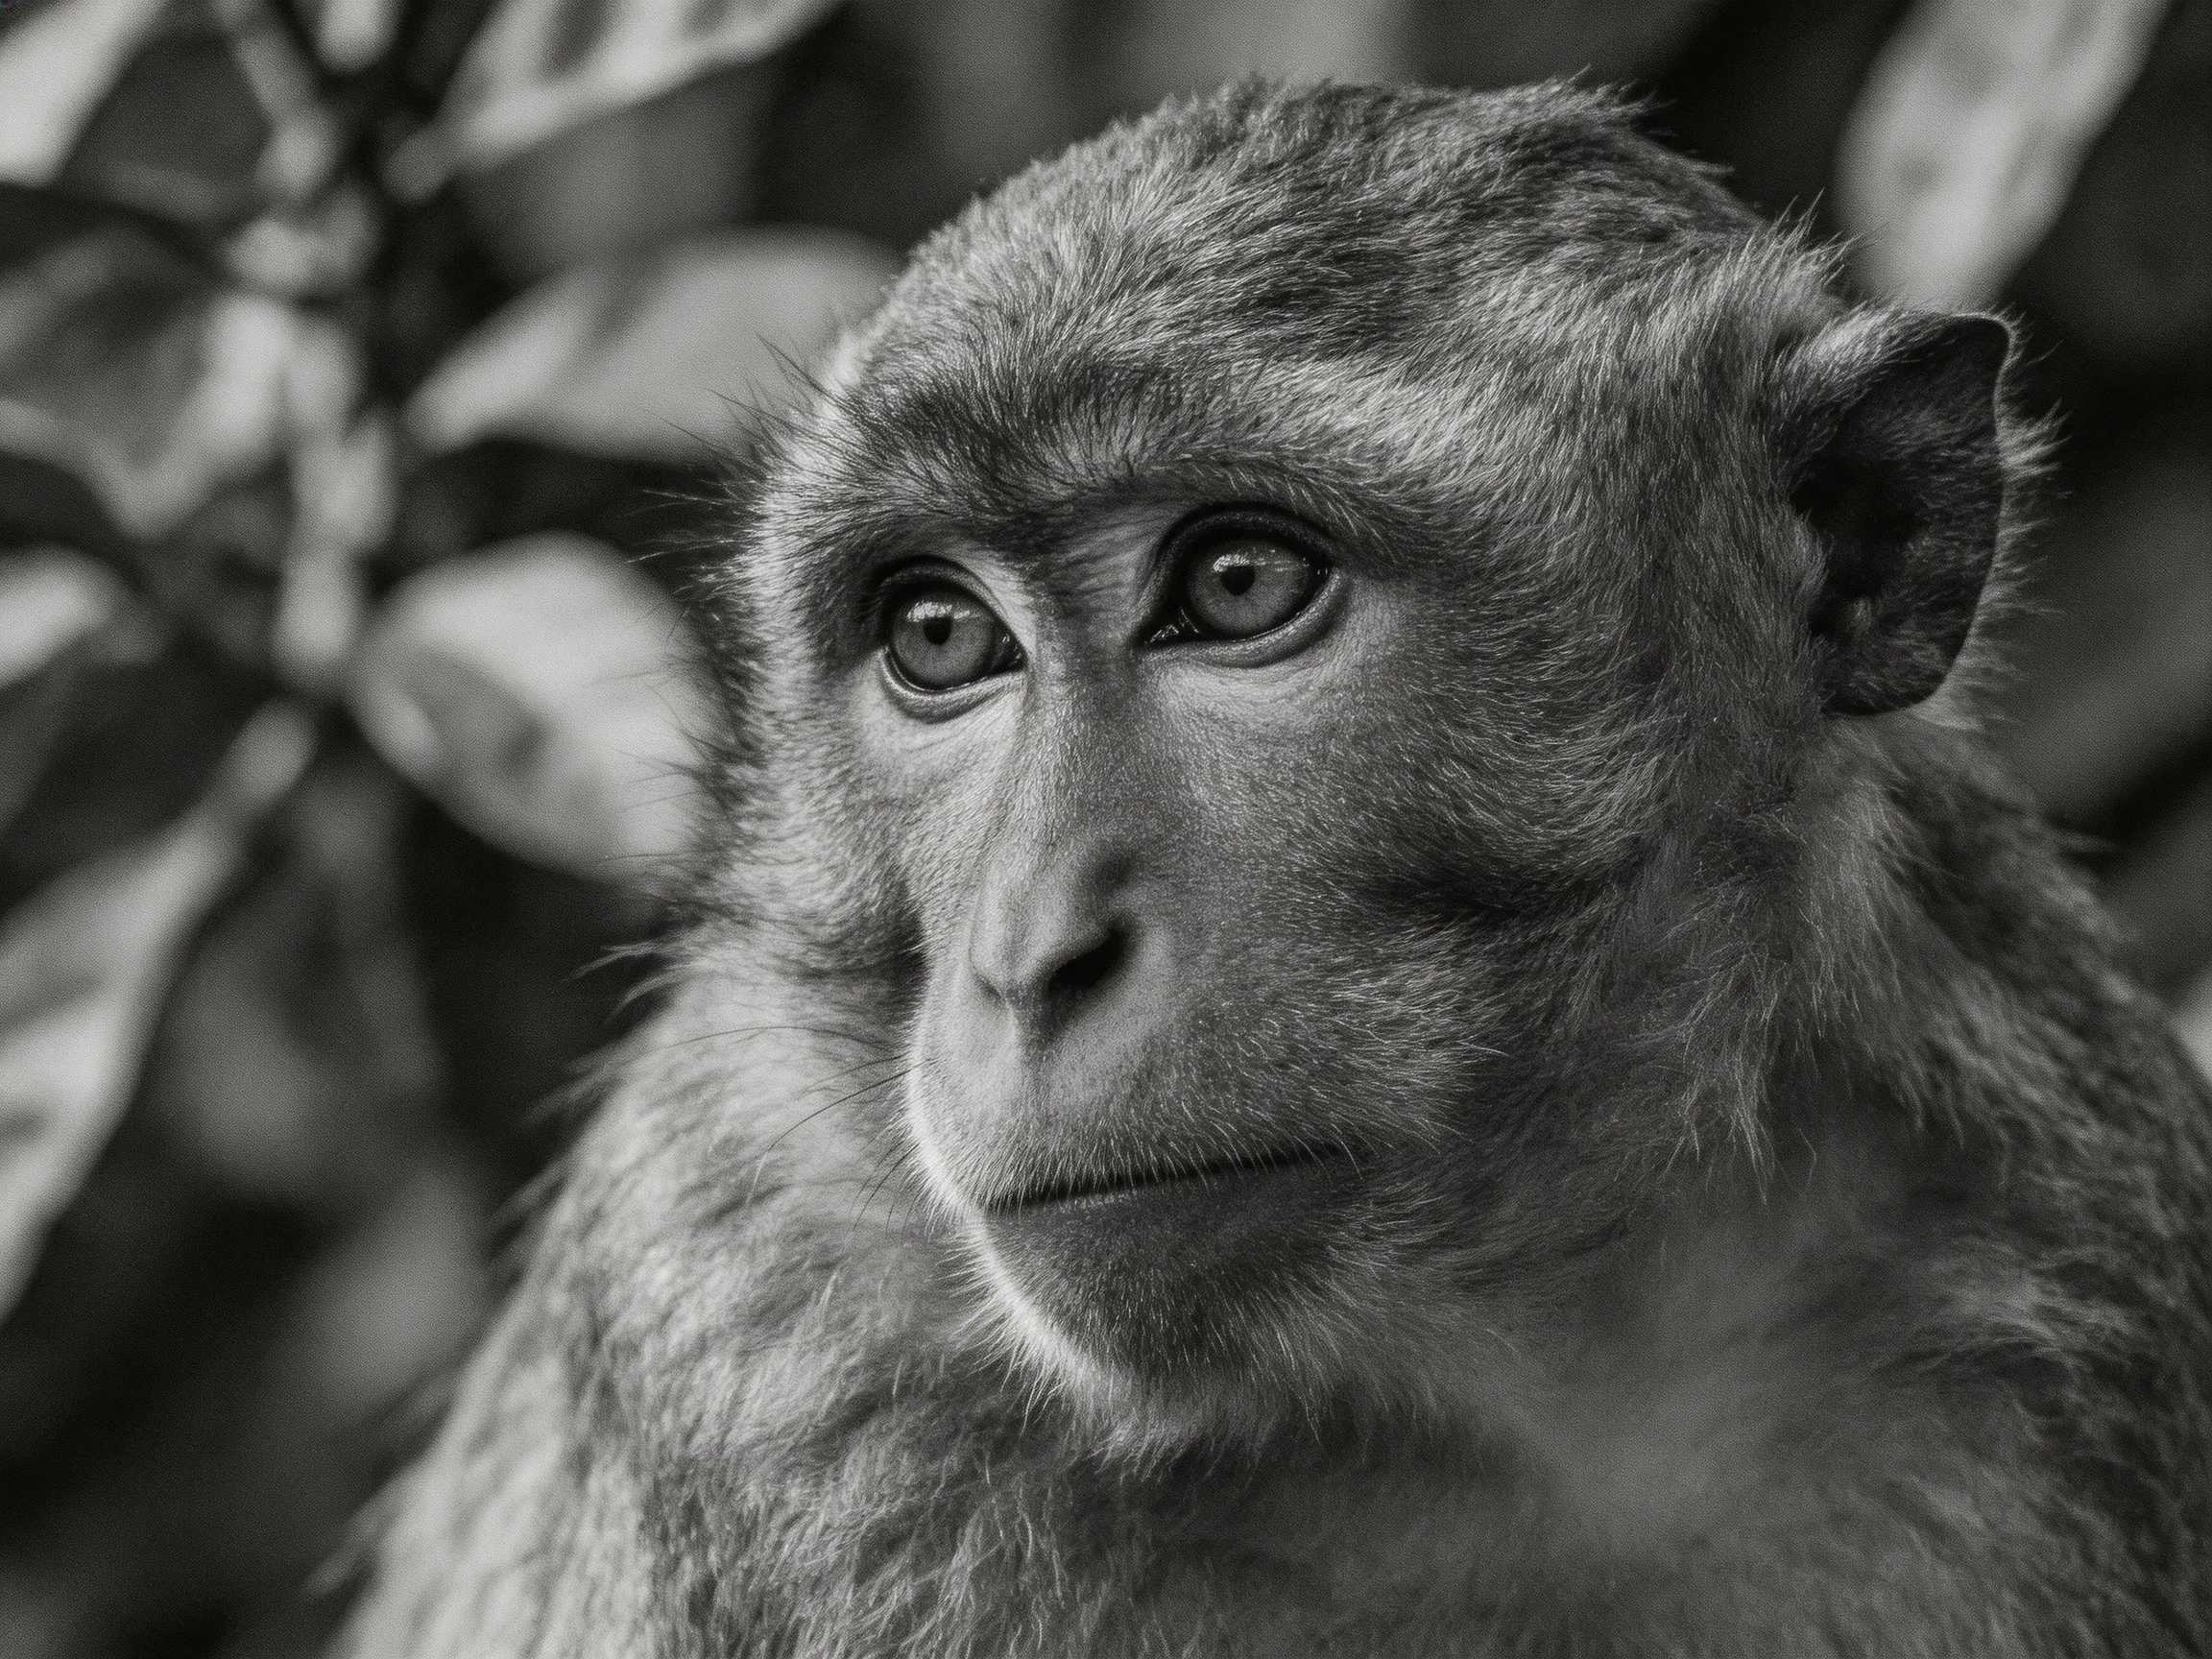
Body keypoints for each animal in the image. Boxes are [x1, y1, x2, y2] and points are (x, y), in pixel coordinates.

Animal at [338, 82, 2212, 1658]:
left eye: (1239, 584)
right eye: (939, 634)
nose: (1027, 957)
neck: (1509, 1381)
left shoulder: (2075, 1252)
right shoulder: (755, 1335)